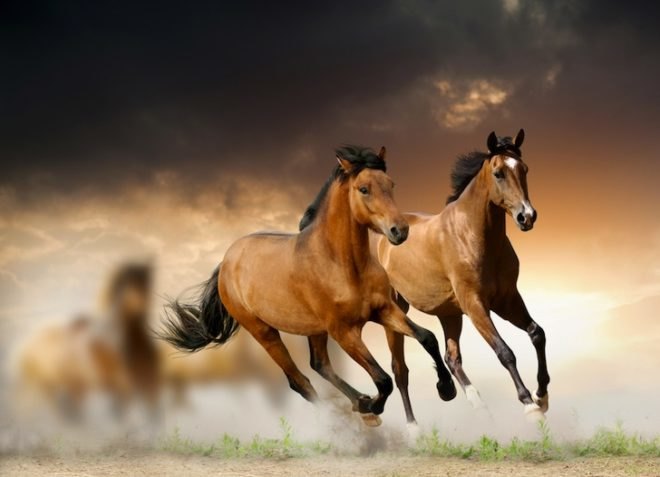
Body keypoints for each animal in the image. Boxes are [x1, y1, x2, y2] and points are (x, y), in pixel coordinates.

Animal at [160, 145, 456, 427]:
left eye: (391, 184)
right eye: (364, 189)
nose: (400, 231)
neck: (343, 264)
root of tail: (226, 261)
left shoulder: (383, 310)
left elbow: (427, 337)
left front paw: (446, 389)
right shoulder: (344, 331)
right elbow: (383, 379)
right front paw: (372, 406)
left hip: (314, 329)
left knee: (319, 364)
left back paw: (360, 404)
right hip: (264, 332)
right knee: (300, 381)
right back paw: (353, 417)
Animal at [376, 130, 549, 424]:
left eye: (524, 169)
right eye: (499, 173)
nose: (527, 216)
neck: (472, 235)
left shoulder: (507, 300)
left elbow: (537, 334)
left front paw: (542, 395)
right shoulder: (475, 304)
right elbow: (505, 352)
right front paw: (529, 405)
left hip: (449, 314)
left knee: (451, 357)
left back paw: (474, 402)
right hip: (396, 311)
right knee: (400, 370)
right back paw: (414, 427)